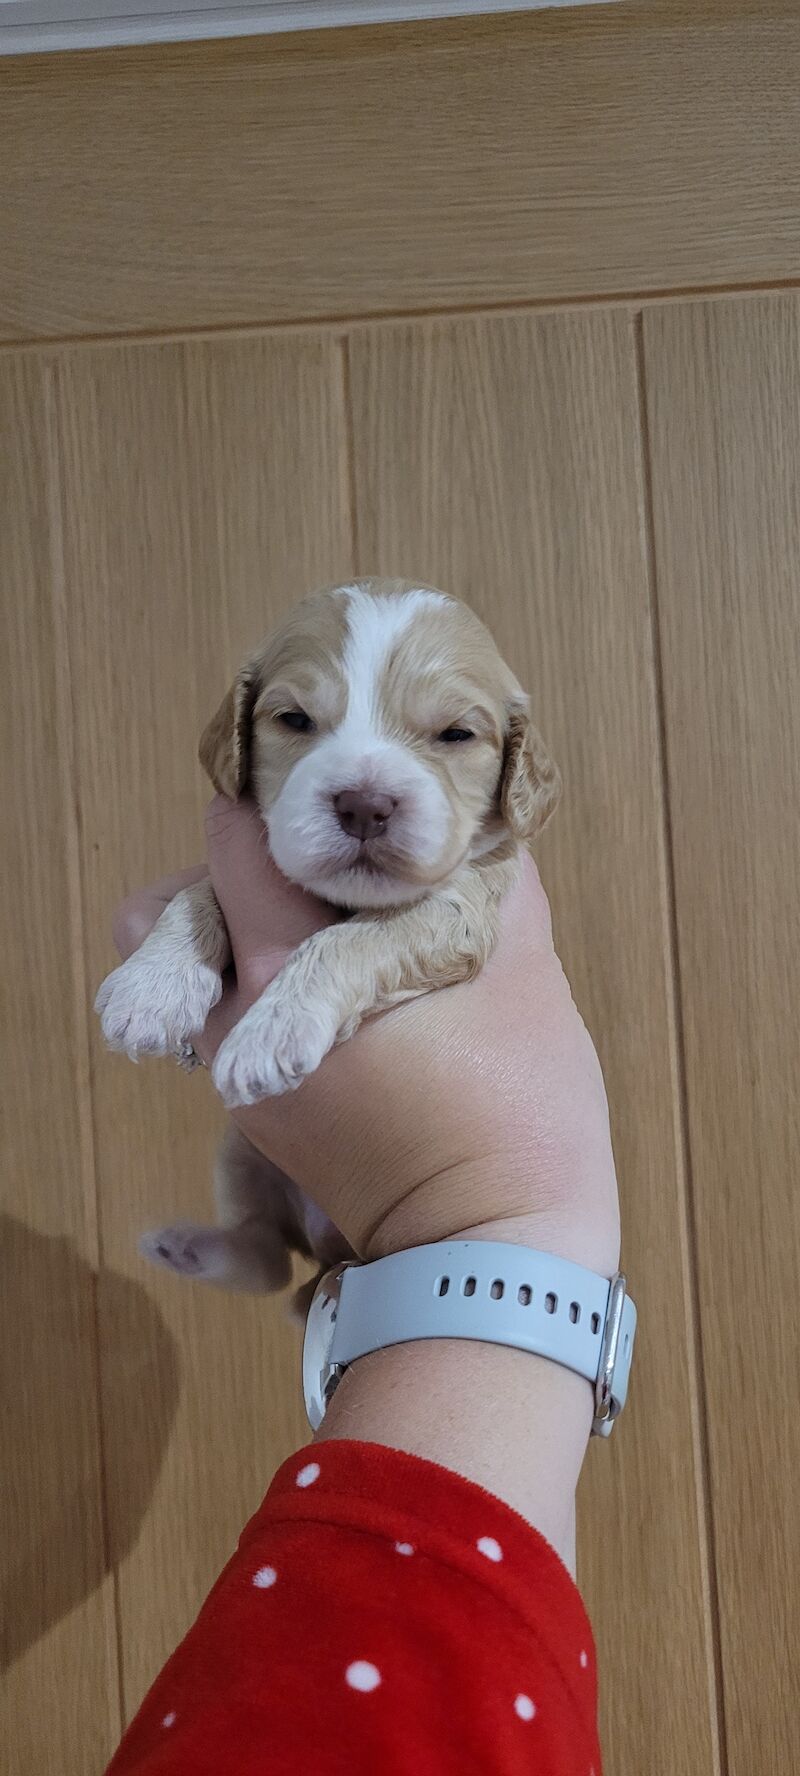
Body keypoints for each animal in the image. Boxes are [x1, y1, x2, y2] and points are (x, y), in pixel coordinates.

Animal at [95, 582, 554, 1307]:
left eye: (456, 734)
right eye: (294, 720)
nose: (365, 804)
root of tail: (328, 1248)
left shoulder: (460, 909)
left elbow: (345, 941)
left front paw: (270, 1030)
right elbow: (197, 892)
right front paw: (152, 988)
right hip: (240, 1150)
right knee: (264, 1260)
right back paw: (188, 1249)